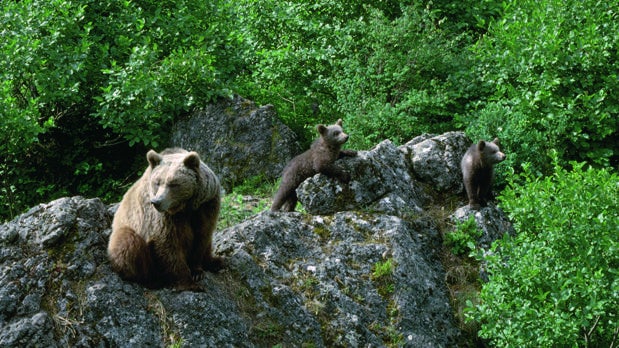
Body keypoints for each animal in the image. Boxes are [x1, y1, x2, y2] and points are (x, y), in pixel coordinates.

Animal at [108, 147, 224, 290]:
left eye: (173, 183)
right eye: (157, 182)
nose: (156, 202)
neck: (185, 207)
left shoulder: (206, 205)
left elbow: (202, 235)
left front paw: (197, 271)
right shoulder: (163, 218)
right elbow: (168, 243)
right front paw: (190, 283)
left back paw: (215, 261)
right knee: (128, 243)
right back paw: (152, 280)